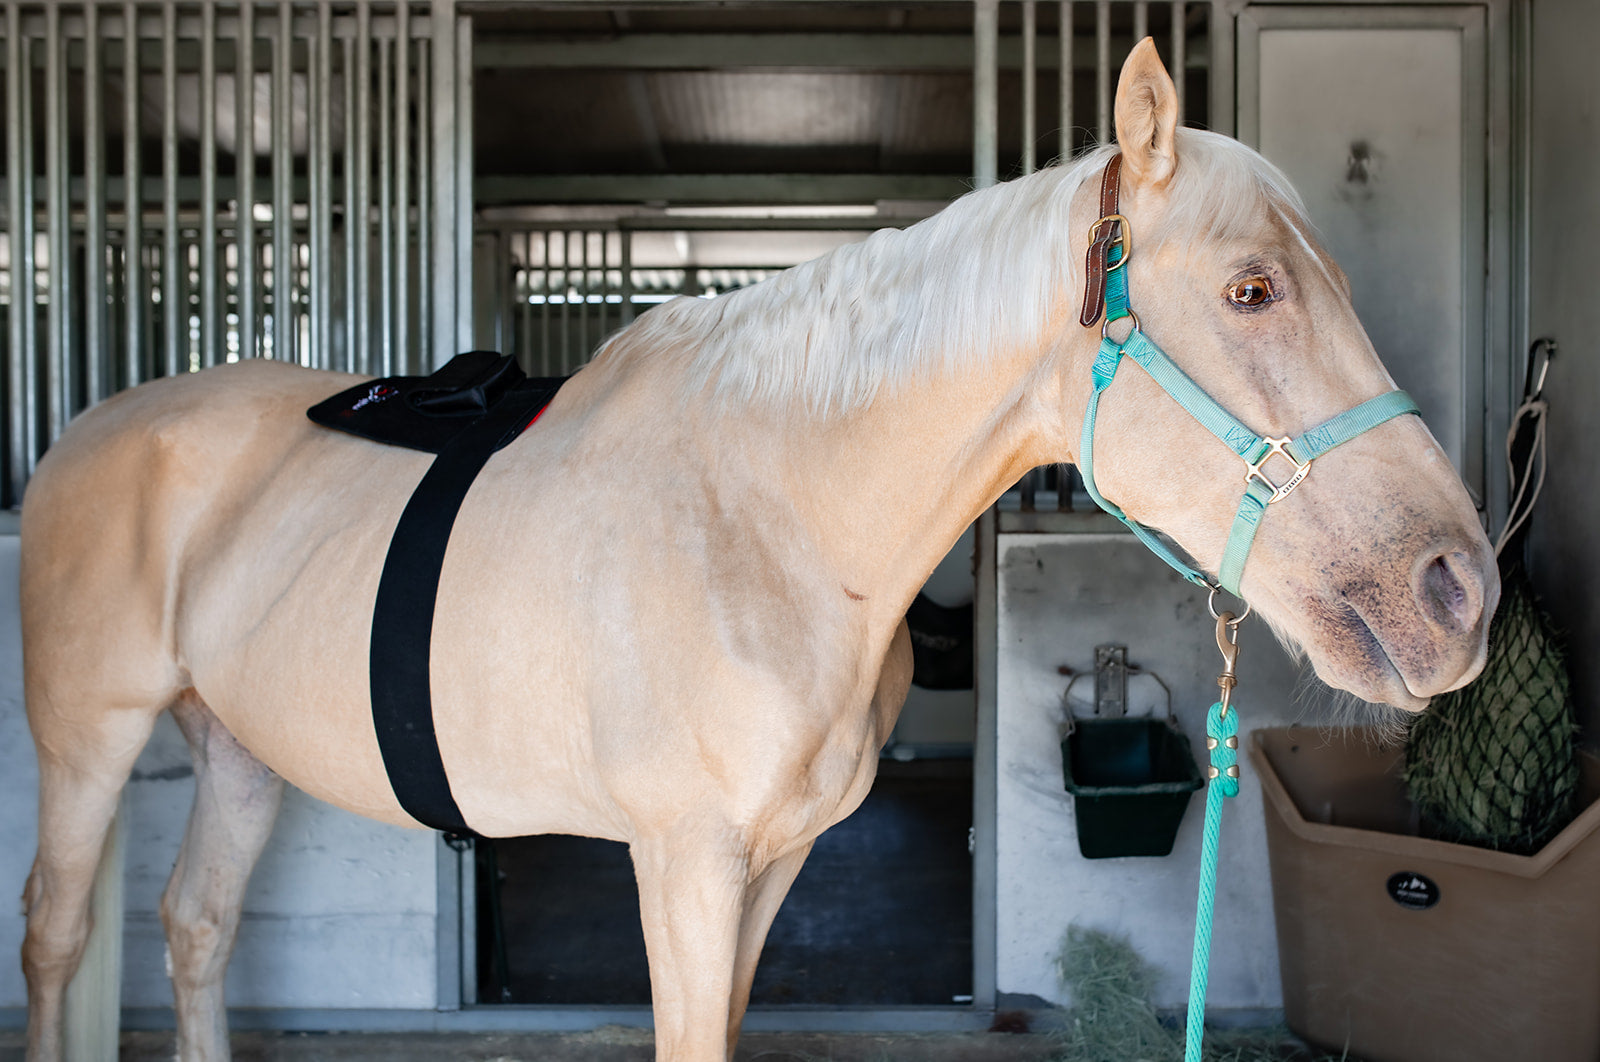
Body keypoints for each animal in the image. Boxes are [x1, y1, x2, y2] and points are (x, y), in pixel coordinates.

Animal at [18, 41, 1491, 1062]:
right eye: (1251, 288)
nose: (1458, 588)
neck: (765, 527)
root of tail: (94, 430)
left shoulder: (769, 862)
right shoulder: (682, 860)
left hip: (235, 744)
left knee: (194, 929)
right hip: (88, 741)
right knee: (58, 933)